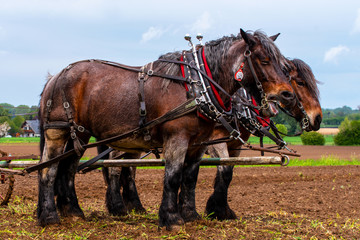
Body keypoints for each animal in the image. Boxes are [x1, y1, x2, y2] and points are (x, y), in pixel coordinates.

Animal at [37, 29, 296, 230]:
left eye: (282, 63)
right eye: (264, 60)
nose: (287, 95)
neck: (195, 85)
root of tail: (55, 77)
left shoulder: (198, 143)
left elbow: (189, 178)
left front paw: (191, 215)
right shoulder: (177, 138)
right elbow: (172, 177)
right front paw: (171, 219)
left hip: (79, 135)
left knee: (68, 170)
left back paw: (73, 212)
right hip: (57, 132)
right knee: (48, 170)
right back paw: (49, 217)